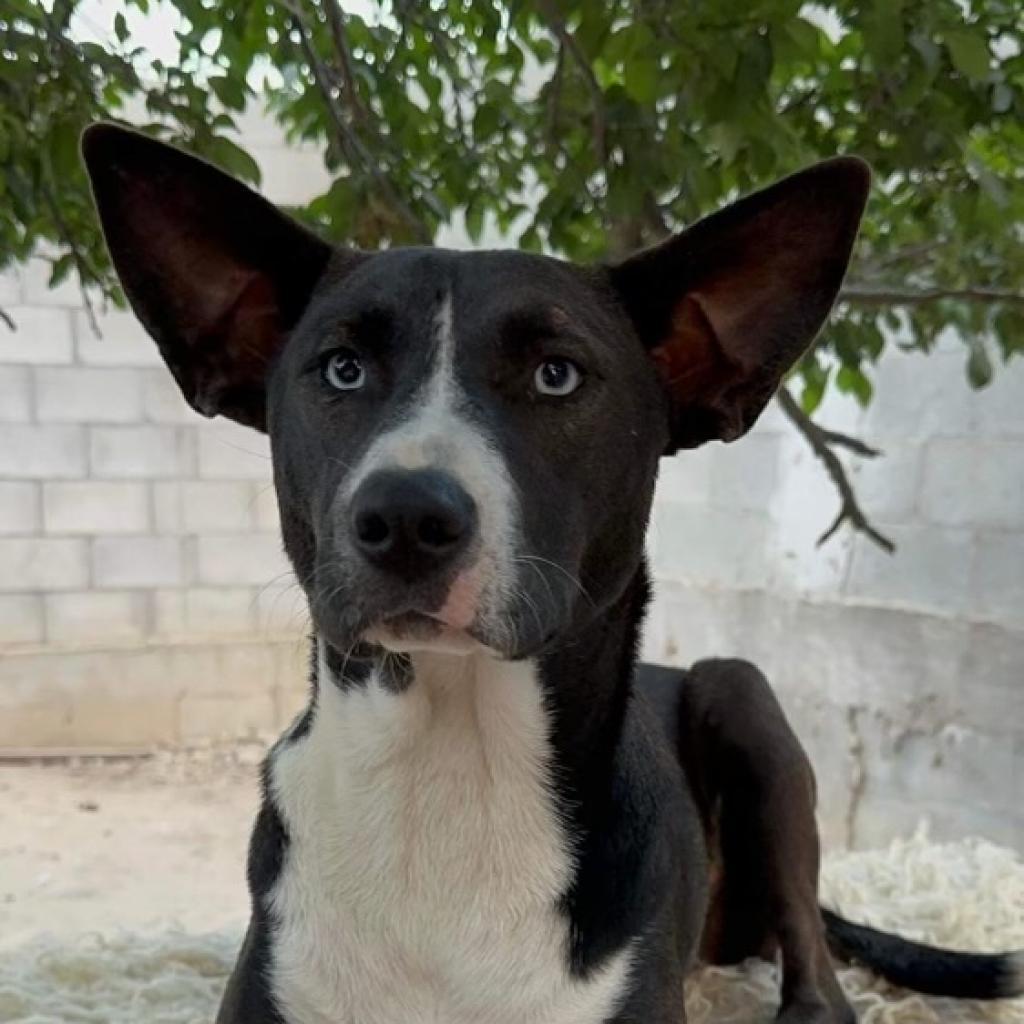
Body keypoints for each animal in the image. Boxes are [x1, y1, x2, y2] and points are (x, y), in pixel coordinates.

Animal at [81, 128, 1024, 1024]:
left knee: (820, 981)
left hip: (743, 696)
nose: (406, 519)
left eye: (557, 374)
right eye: (341, 368)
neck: (449, 776)